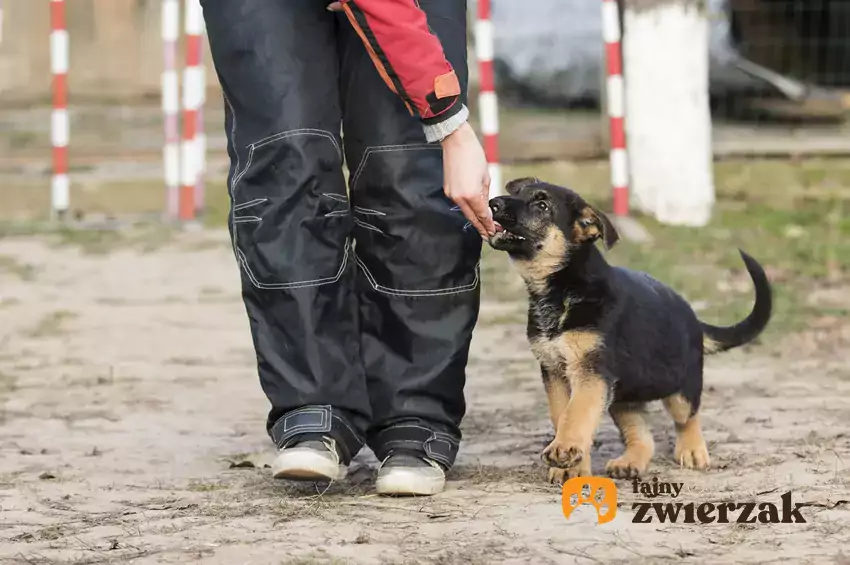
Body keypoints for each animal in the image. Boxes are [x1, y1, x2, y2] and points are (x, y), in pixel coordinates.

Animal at [484, 178, 768, 482]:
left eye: (542, 205)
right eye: (517, 193)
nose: (493, 204)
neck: (563, 289)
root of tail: (689, 311)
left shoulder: (591, 372)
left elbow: (577, 413)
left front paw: (566, 449)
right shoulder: (554, 372)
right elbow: (563, 415)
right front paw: (571, 466)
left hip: (679, 387)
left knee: (687, 416)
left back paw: (692, 450)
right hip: (624, 395)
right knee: (642, 434)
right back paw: (630, 461)